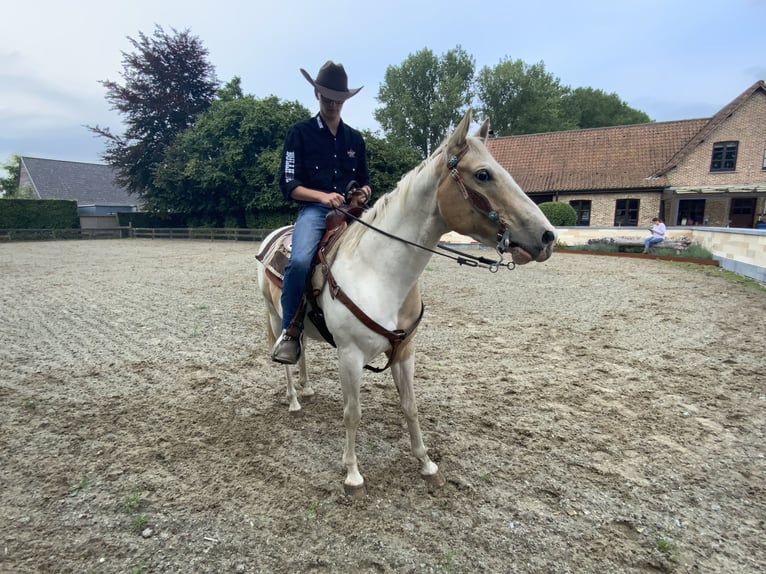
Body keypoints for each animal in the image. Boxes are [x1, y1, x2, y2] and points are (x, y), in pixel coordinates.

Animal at [258, 110, 560, 498]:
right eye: (483, 174)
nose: (548, 236)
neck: (379, 272)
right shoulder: (350, 356)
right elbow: (352, 413)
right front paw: (353, 474)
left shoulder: (405, 351)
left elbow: (410, 406)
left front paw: (427, 464)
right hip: (273, 316)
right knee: (286, 352)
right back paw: (294, 398)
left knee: (303, 349)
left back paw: (307, 388)